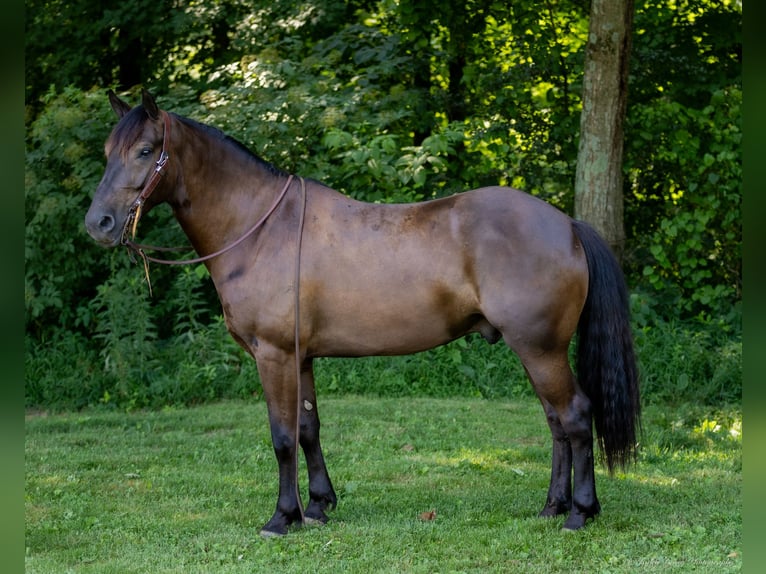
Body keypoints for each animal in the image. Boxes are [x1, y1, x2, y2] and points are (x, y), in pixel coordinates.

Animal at [85, 90, 640, 540]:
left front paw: (282, 517)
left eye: (145, 150)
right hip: (536, 351)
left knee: (575, 415)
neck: (260, 229)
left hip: (540, 348)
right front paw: (317, 507)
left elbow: (282, 436)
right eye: (108, 152)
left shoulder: (274, 356)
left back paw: (579, 512)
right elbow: (308, 429)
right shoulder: (301, 358)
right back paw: (552, 507)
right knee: (556, 423)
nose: (99, 224)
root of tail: (566, 224)